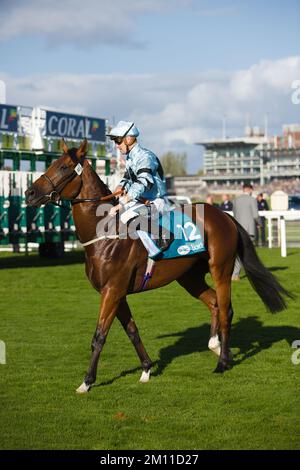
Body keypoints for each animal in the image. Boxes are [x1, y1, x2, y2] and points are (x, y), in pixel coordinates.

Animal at [24, 140, 292, 392]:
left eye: (64, 167)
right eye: (51, 164)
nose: (29, 192)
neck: (105, 233)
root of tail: (224, 216)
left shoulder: (112, 291)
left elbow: (99, 336)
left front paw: (87, 382)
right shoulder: (117, 293)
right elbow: (132, 331)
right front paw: (146, 369)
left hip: (221, 270)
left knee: (225, 310)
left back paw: (222, 362)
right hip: (189, 278)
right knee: (215, 303)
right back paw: (215, 345)